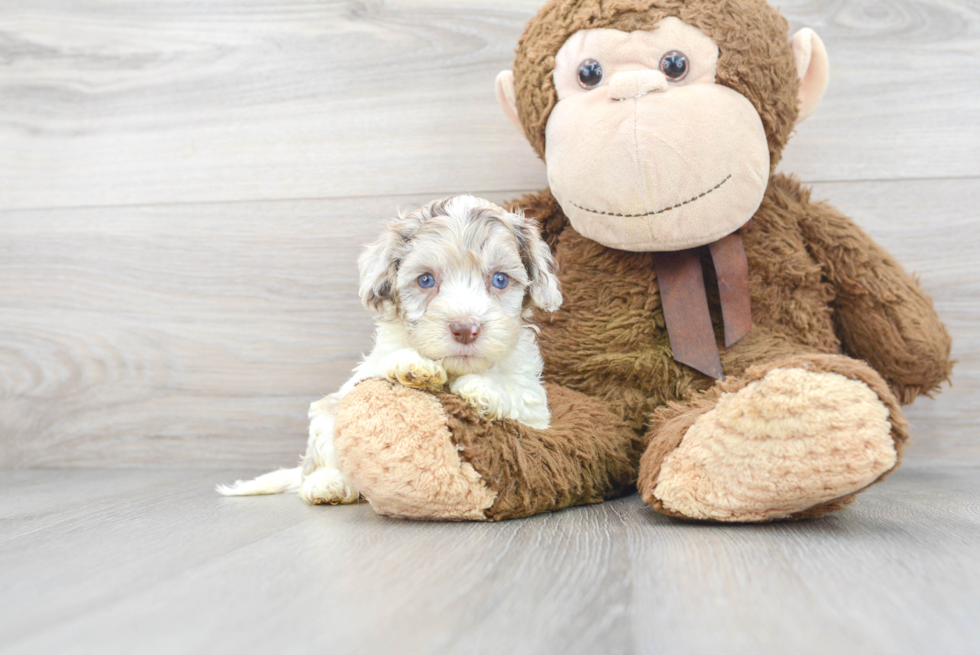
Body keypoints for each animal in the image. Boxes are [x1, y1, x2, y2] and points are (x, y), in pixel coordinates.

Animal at [218, 195, 564, 508]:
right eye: (426, 280)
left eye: (500, 279)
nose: (465, 328)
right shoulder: (364, 374)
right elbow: (384, 364)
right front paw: (413, 366)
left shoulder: (536, 411)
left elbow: (518, 396)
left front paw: (484, 389)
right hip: (325, 419)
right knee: (322, 461)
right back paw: (328, 484)